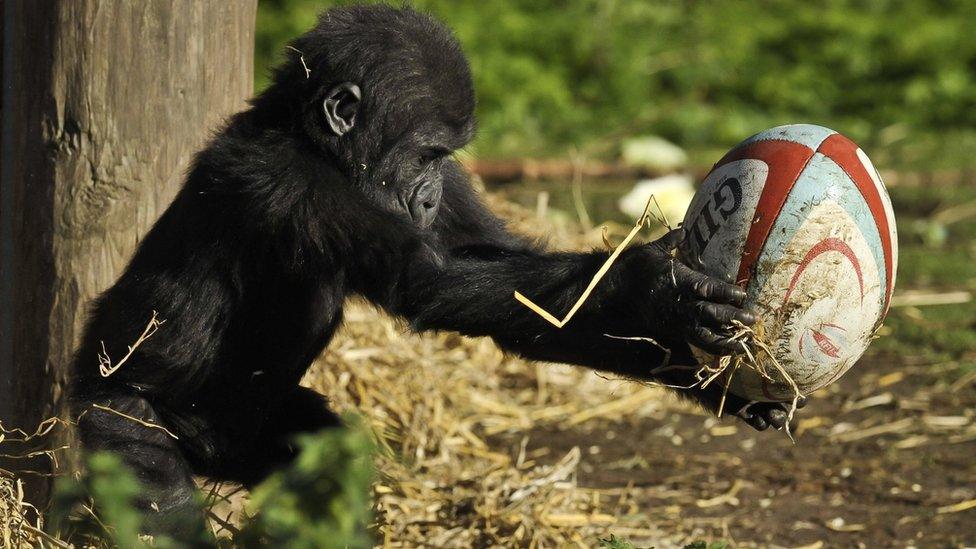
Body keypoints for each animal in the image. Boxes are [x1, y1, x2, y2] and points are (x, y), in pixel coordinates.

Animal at [70, 4, 800, 540]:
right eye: (424, 152)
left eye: (443, 158)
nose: (424, 196)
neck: (306, 136)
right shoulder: (285, 181)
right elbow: (427, 282)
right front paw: (655, 287)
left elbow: (527, 301)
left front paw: (725, 382)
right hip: (115, 419)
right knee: (155, 495)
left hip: (251, 438)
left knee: (325, 466)